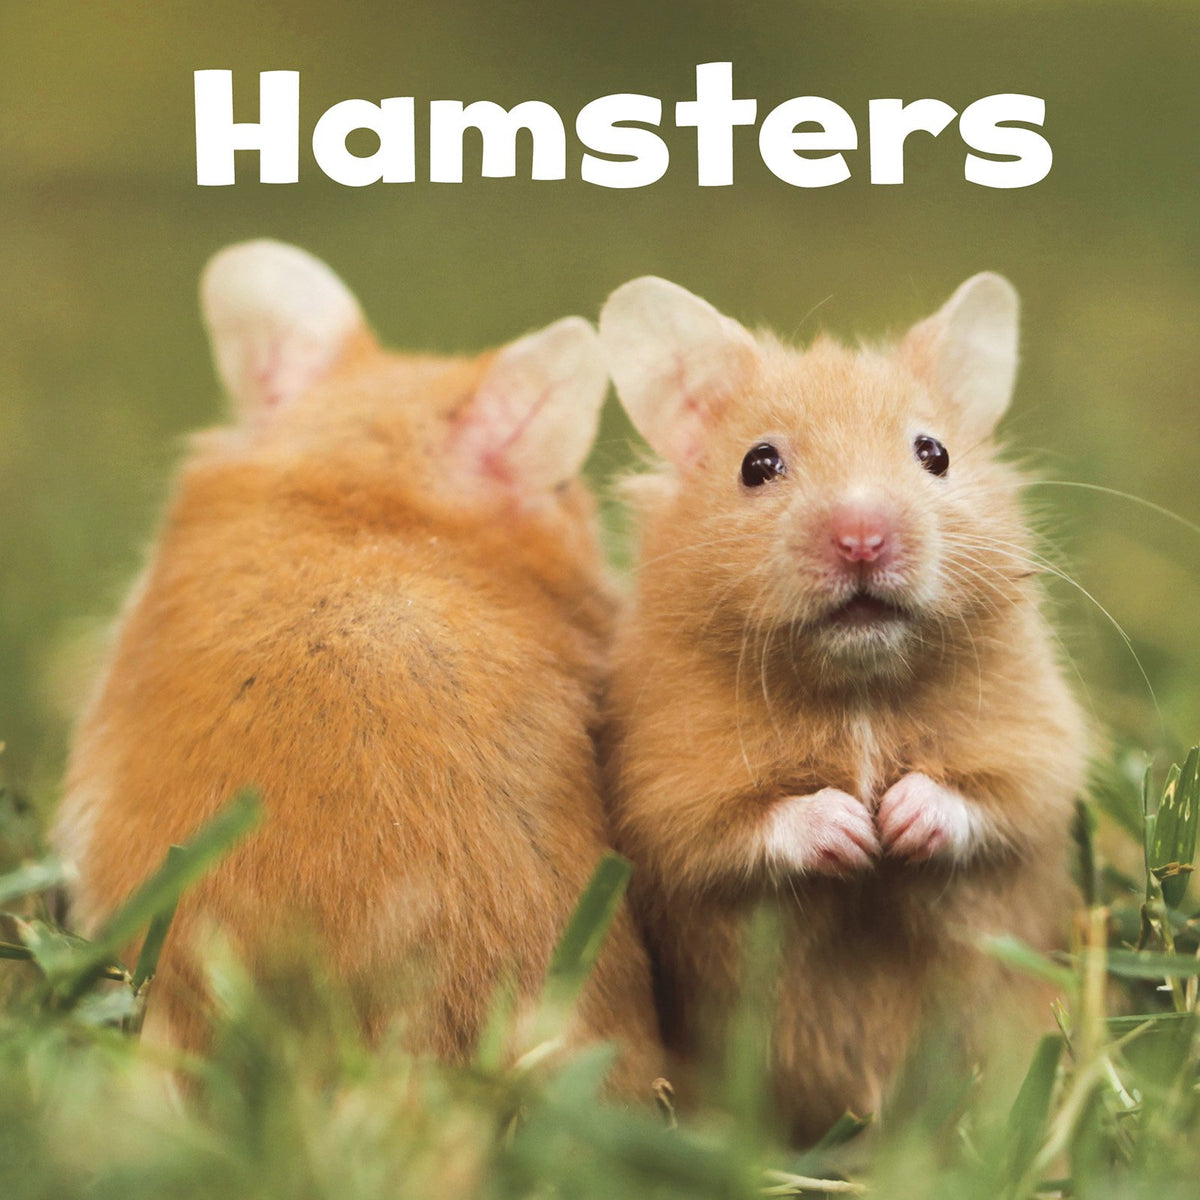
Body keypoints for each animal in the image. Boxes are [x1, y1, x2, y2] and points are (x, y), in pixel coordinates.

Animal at [597, 273, 1088, 1140]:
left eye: (935, 453)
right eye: (758, 463)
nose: (863, 537)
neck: (858, 686)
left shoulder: (1037, 744)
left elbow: (993, 800)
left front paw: (899, 821)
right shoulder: (664, 789)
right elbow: (743, 827)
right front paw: (856, 832)